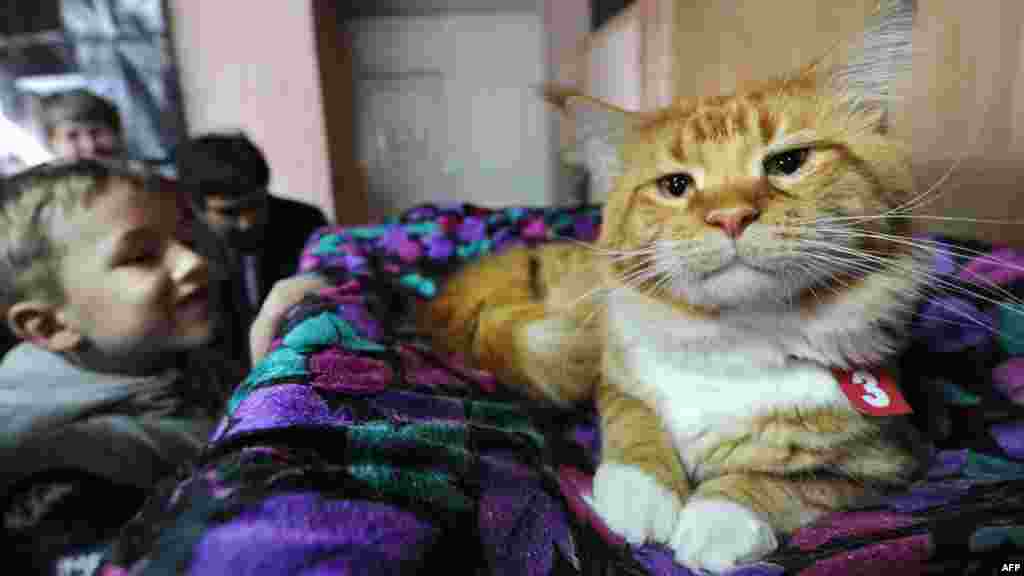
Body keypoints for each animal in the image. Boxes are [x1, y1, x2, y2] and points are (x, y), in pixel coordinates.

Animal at [415, 0, 921, 569]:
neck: (735, 344)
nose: (730, 216)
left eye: (788, 162)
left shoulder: (888, 459)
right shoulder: (614, 378)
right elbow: (635, 423)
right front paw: (641, 491)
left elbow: (789, 482)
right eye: (675, 185)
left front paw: (721, 515)